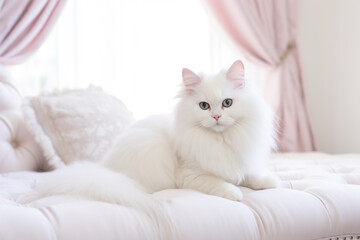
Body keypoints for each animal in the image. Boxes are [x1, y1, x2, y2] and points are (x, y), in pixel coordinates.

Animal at [35, 59, 278, 205]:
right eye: (204, 106)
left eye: (227, 103)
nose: (216, 117)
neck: (221, 140)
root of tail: (106, 170)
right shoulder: (191, 174)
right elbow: (219, 183)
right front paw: (235, 193)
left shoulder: (242, 159)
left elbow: (252, 175)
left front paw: (270, 182)